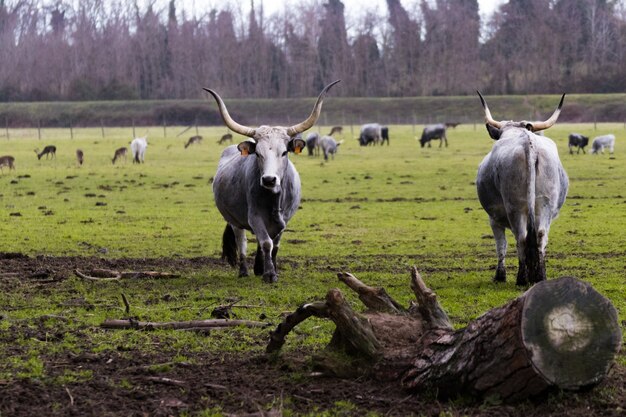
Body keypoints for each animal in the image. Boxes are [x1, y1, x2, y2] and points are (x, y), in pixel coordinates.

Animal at [202, 80, 338, 282]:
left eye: (284, 152)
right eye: (258, 153)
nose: (269, 180)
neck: (274, 198)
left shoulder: (285, 219)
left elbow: (275, 245)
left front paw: (271, 269)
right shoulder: (254, 216)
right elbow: (266, 243)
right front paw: (269, 274)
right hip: (235, 221)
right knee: (242, 242)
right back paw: (244, 270)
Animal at [476, 91, 568, 286]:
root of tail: (528, 142)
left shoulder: (494, 219)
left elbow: (501, 246)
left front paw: (500, 275)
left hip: (515, 207)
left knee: (522, 238)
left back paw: (522, 278)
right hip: (545, 204)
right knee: (540, 236)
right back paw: (540, 276)